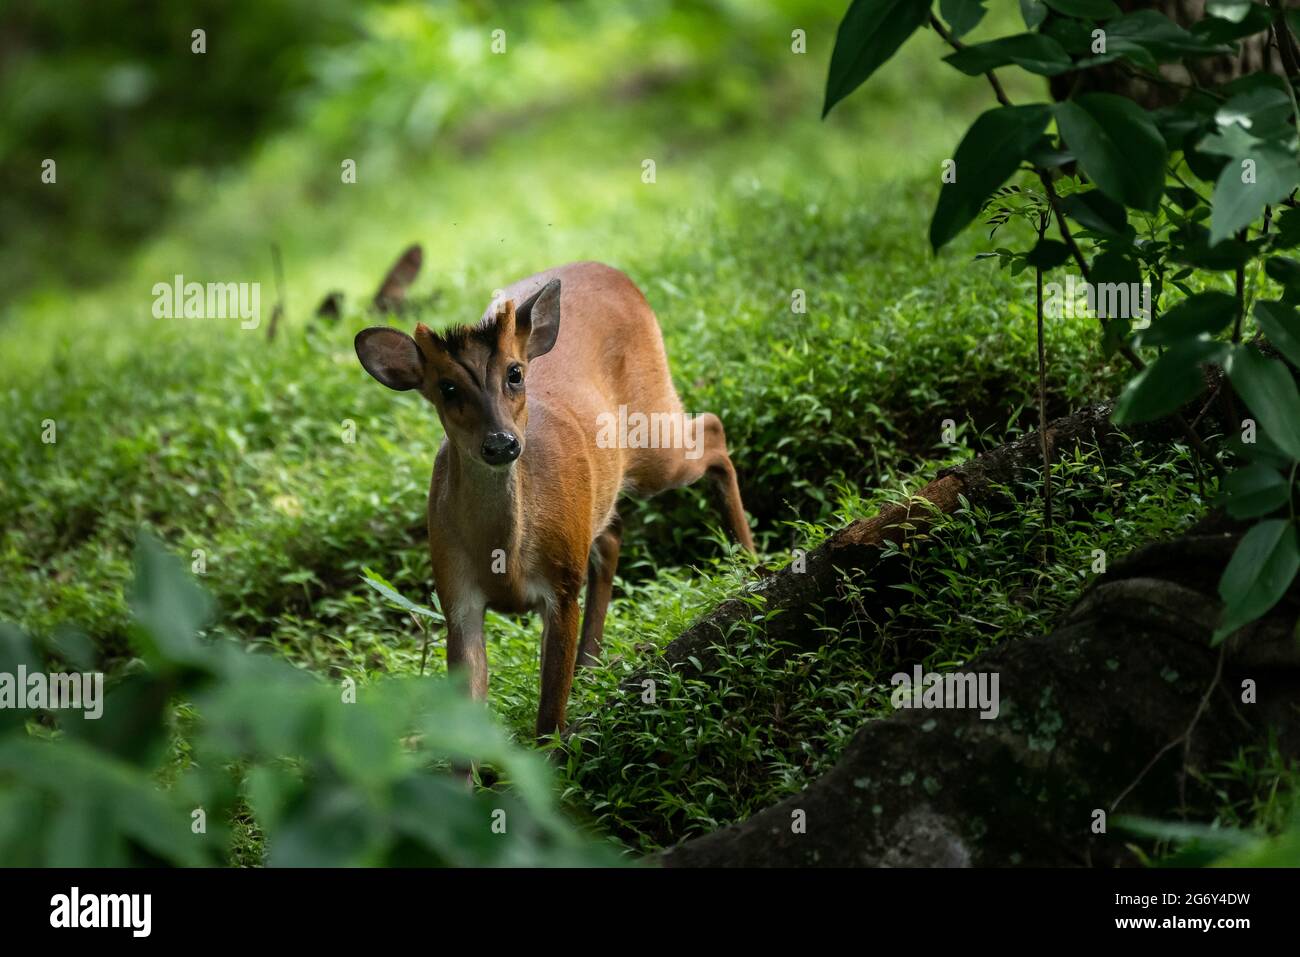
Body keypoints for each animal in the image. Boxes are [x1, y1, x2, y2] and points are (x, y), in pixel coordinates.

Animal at [356, 260, 759, 738]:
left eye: (514, 373)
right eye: (447, 388)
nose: (501, 443)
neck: (504, 558)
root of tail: (614, 272)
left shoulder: (563, 586)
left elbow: (549, 715)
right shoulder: (455, 593)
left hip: (655, 434)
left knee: (712, 429)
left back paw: (752, 568)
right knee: (613, 532)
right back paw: (590, 665)